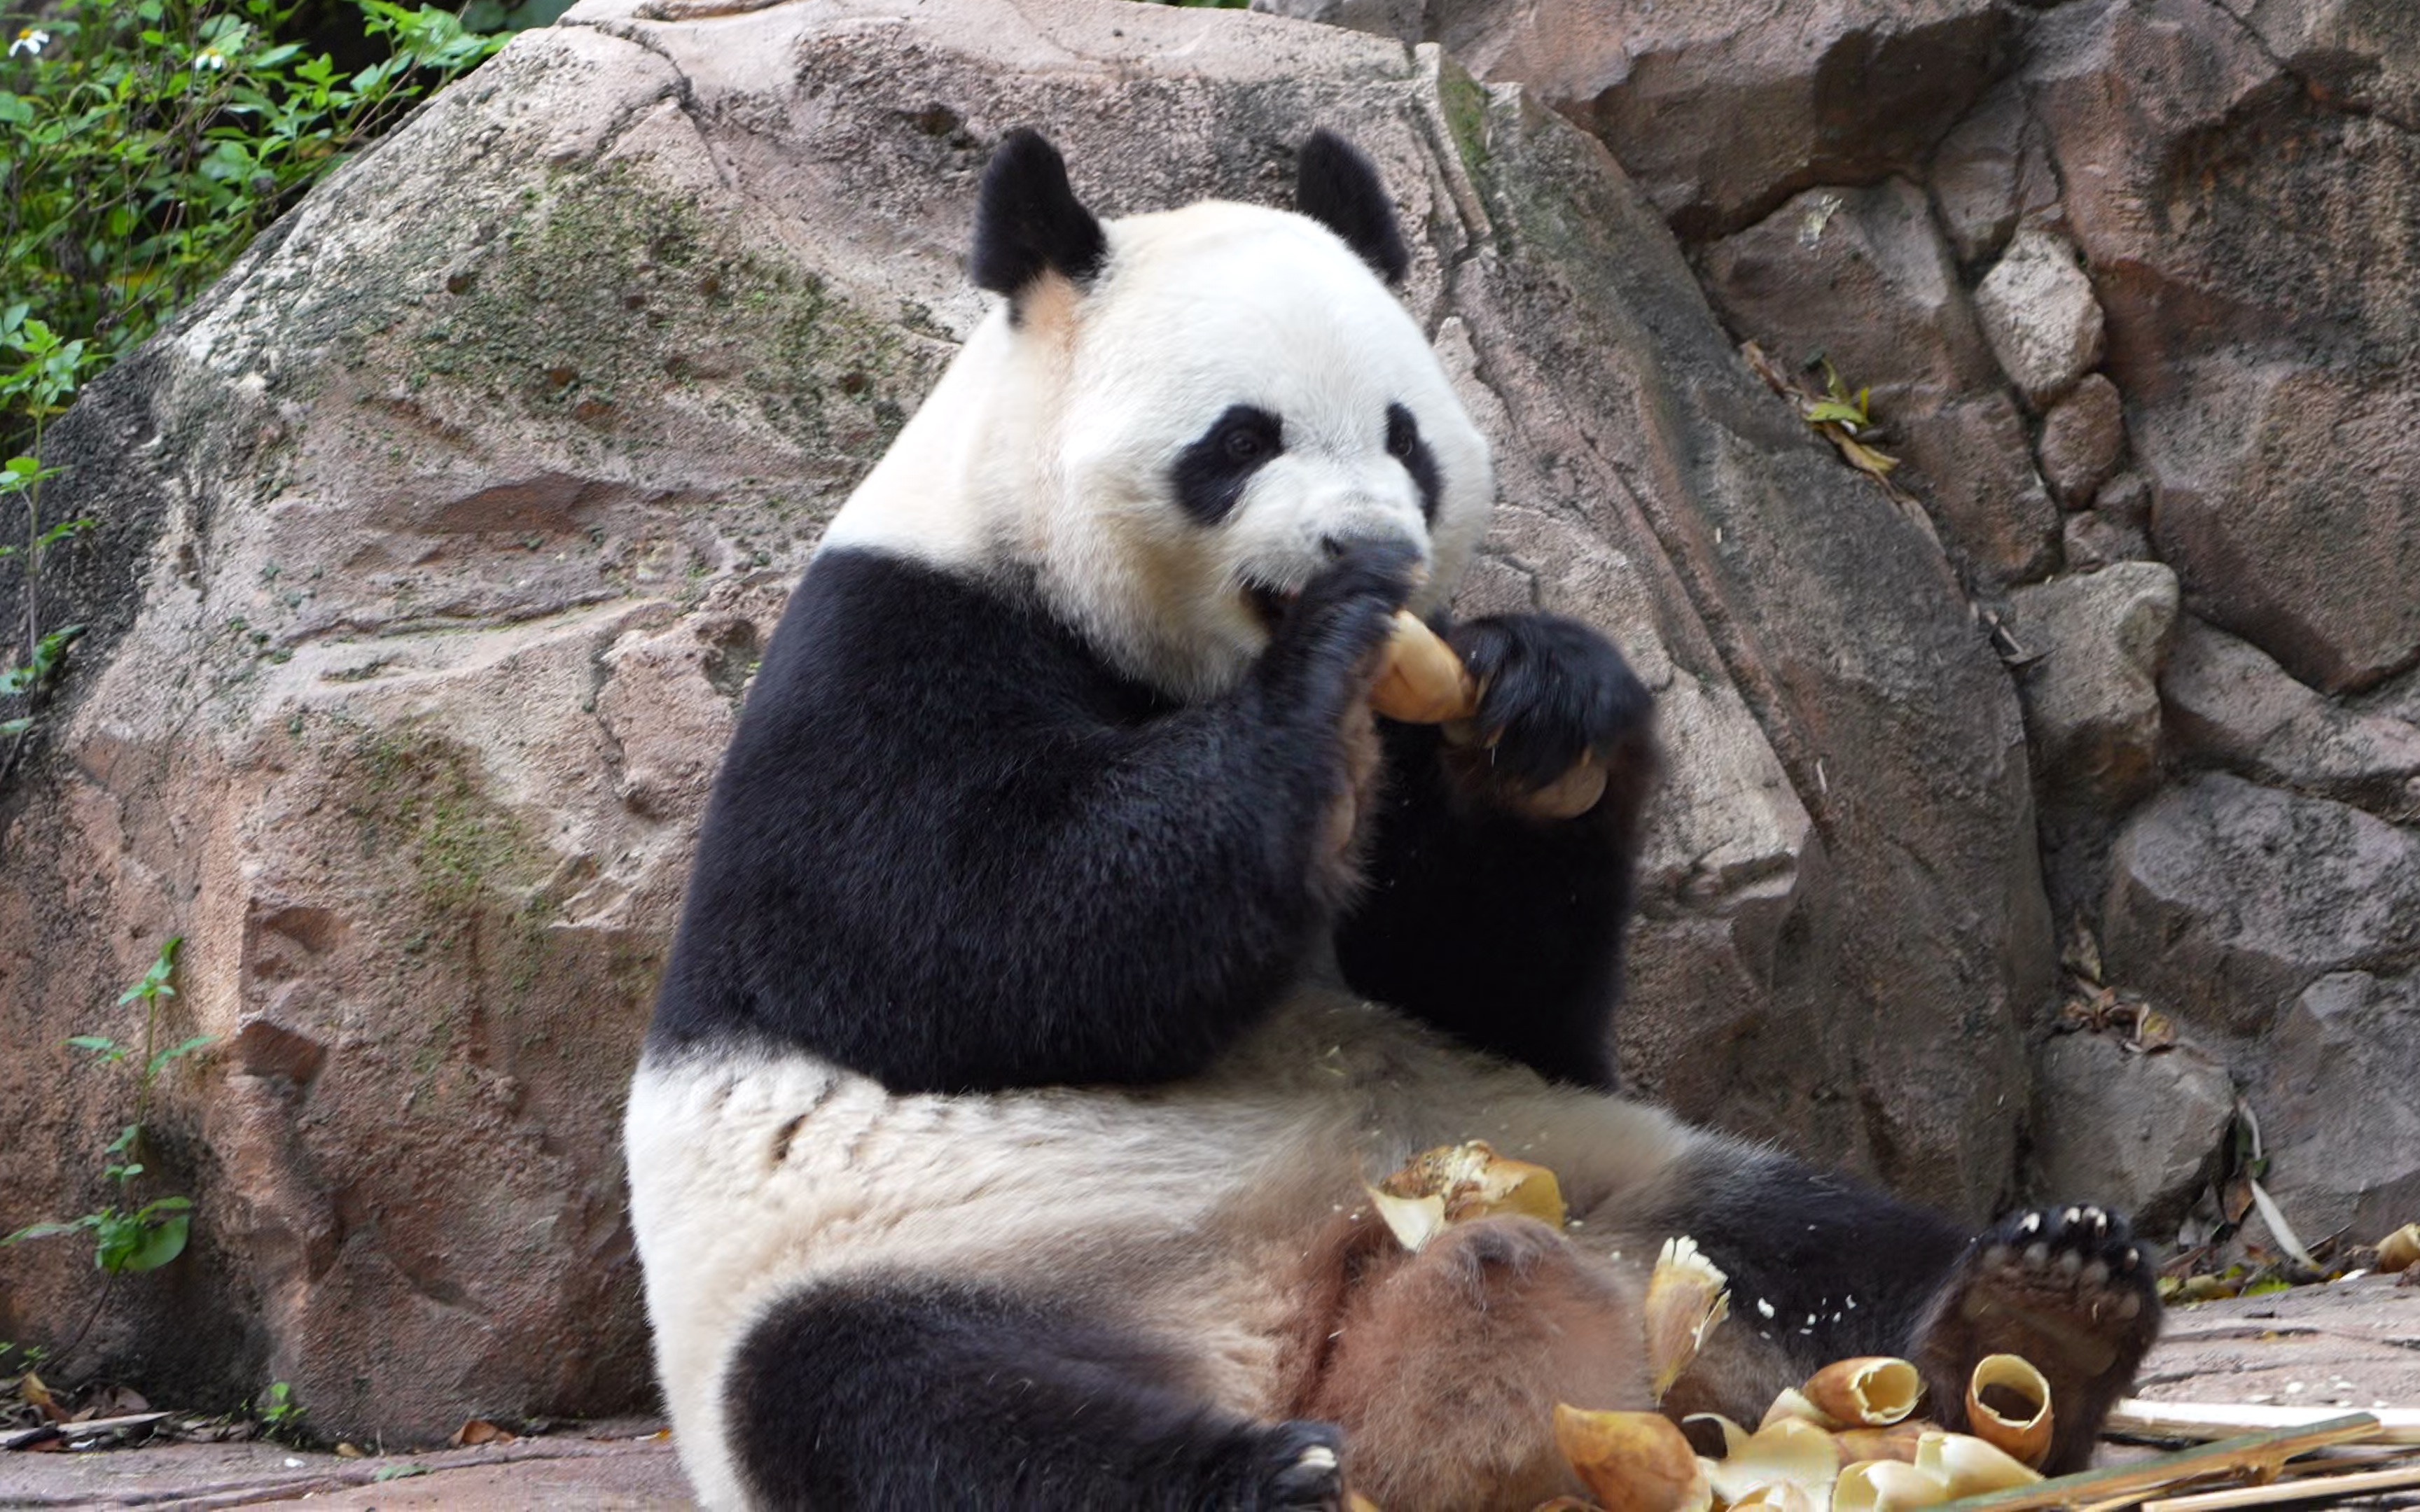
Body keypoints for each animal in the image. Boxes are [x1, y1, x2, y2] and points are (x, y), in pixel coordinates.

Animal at [624, 129, 2158, 1509]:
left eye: (1405, 438)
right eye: (1242, 440)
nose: (1370, 550)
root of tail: (1302, 1336)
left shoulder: (1478, 973)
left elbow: (1480, 979)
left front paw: (1546, 697)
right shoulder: (880, 657)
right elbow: (978, 931)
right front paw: (1318, 683)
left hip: (1581, 1170)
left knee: (1793, 1237)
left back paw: (2033, 1316)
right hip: (914, 1269)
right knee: (910, 1409)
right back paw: (1259, 1479)